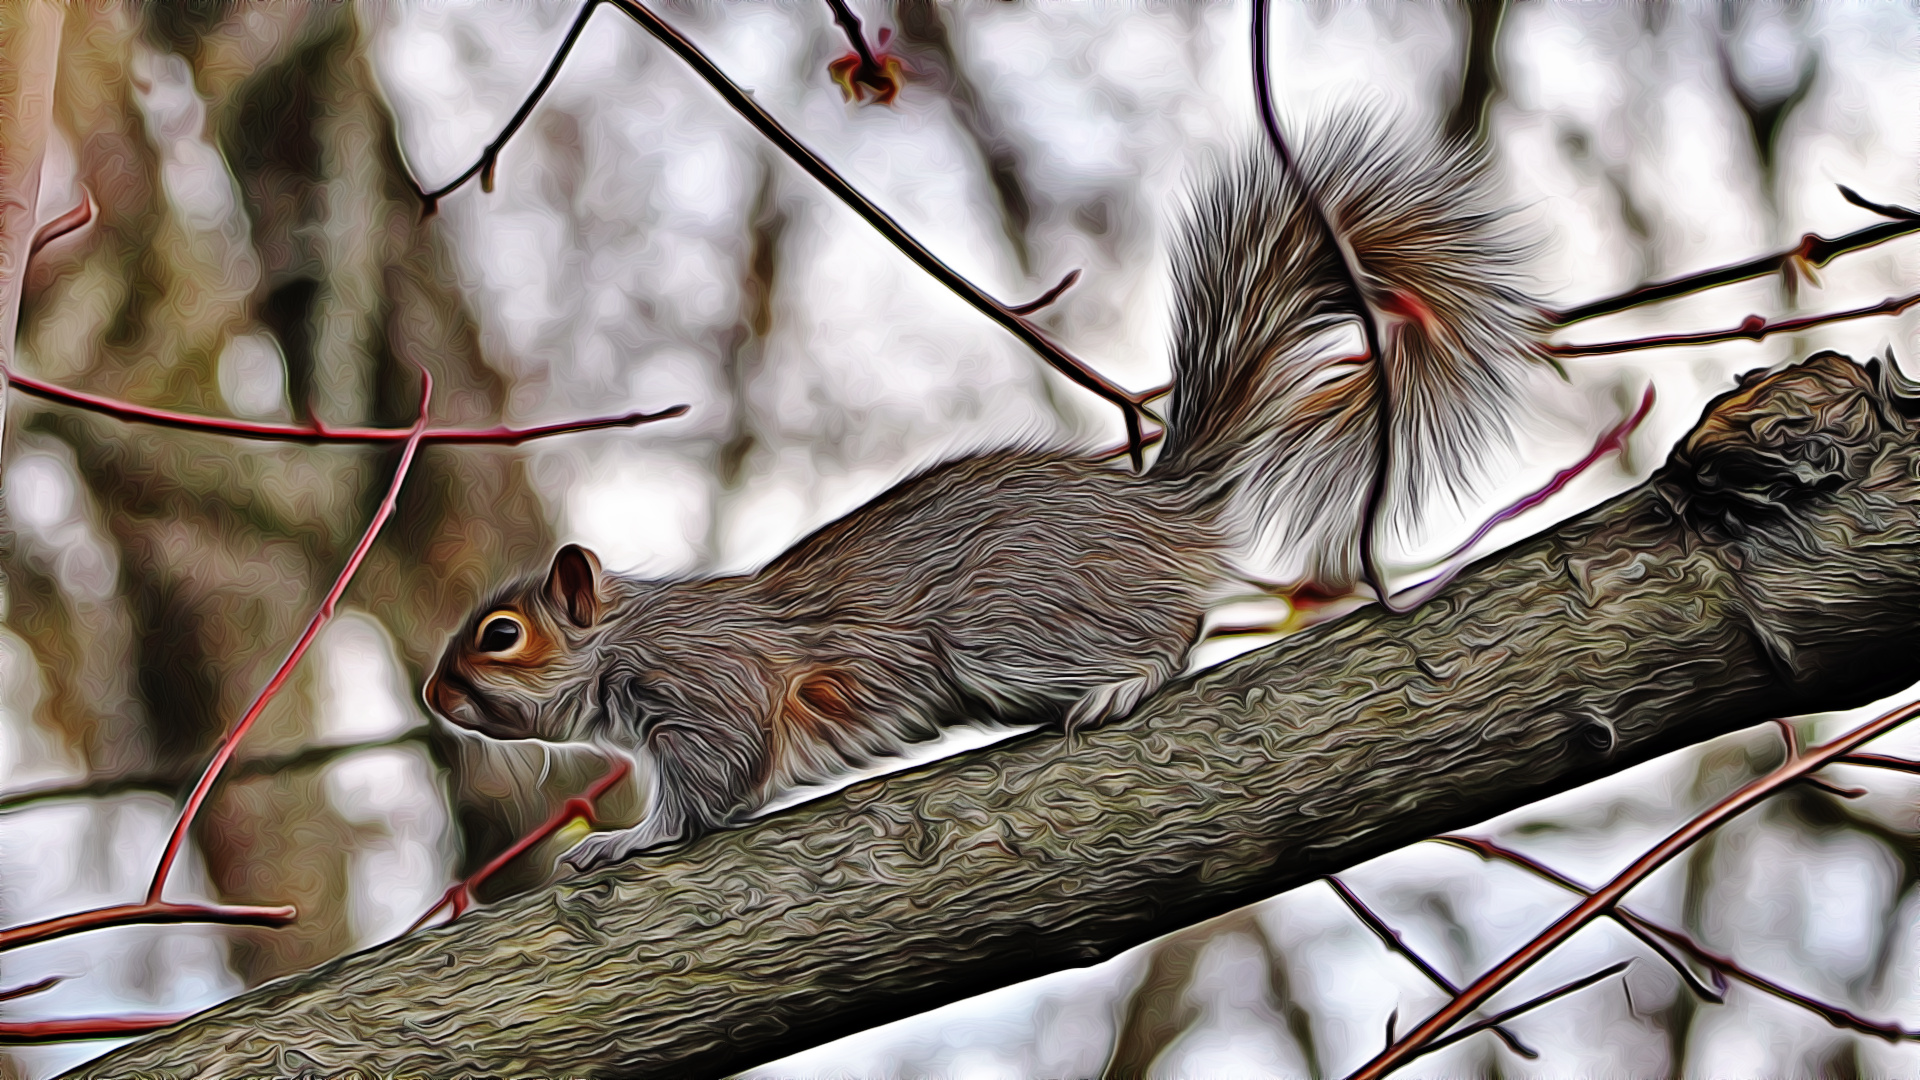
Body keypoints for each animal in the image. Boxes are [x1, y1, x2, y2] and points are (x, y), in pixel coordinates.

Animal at [425, 116, 1549, 870]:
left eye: (501, 636)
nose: (433, 700)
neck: (627, 638)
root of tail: (1157, 513)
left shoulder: (709, 683)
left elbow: (713, 781)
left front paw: (624, 843)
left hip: (1008, 620)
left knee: (1171, 629)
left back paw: (1121, 684)